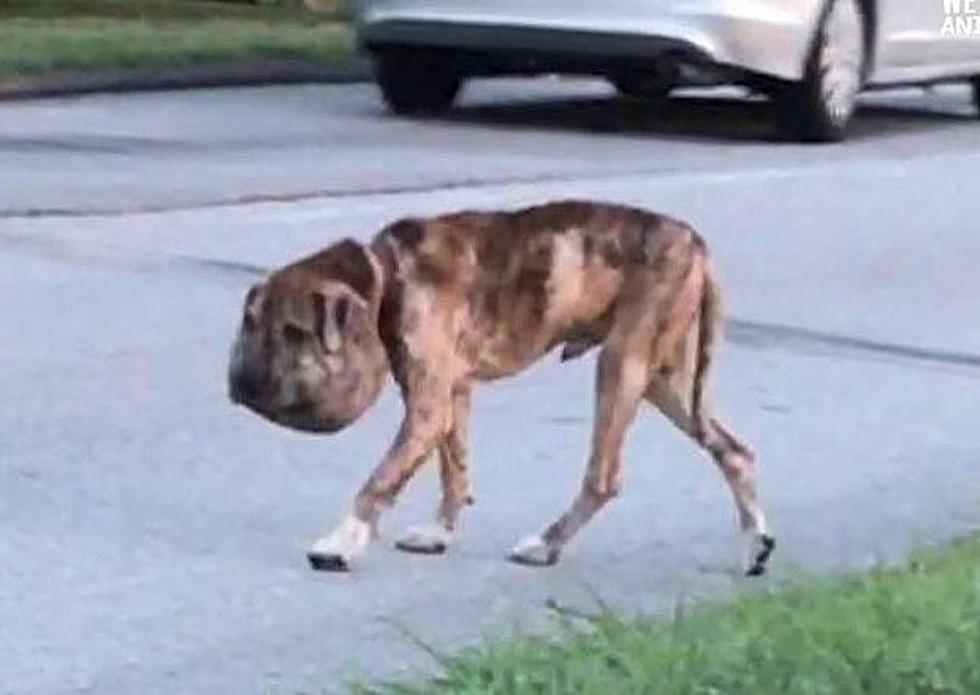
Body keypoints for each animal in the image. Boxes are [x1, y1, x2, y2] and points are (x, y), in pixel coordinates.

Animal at [230, 201, 772, 576]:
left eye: (295, 331)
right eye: (252, 322)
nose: (241, 382)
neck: (388, 275)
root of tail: (695, 244)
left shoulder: (427, 408)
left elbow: (380, 480)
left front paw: (342, 541)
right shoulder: (451, 398)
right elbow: (455, 471)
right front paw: (440, 532)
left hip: (622, 367)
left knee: (603, 477)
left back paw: (547, 544)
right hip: (665, 383)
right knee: (734, 451)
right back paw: (755, 544)